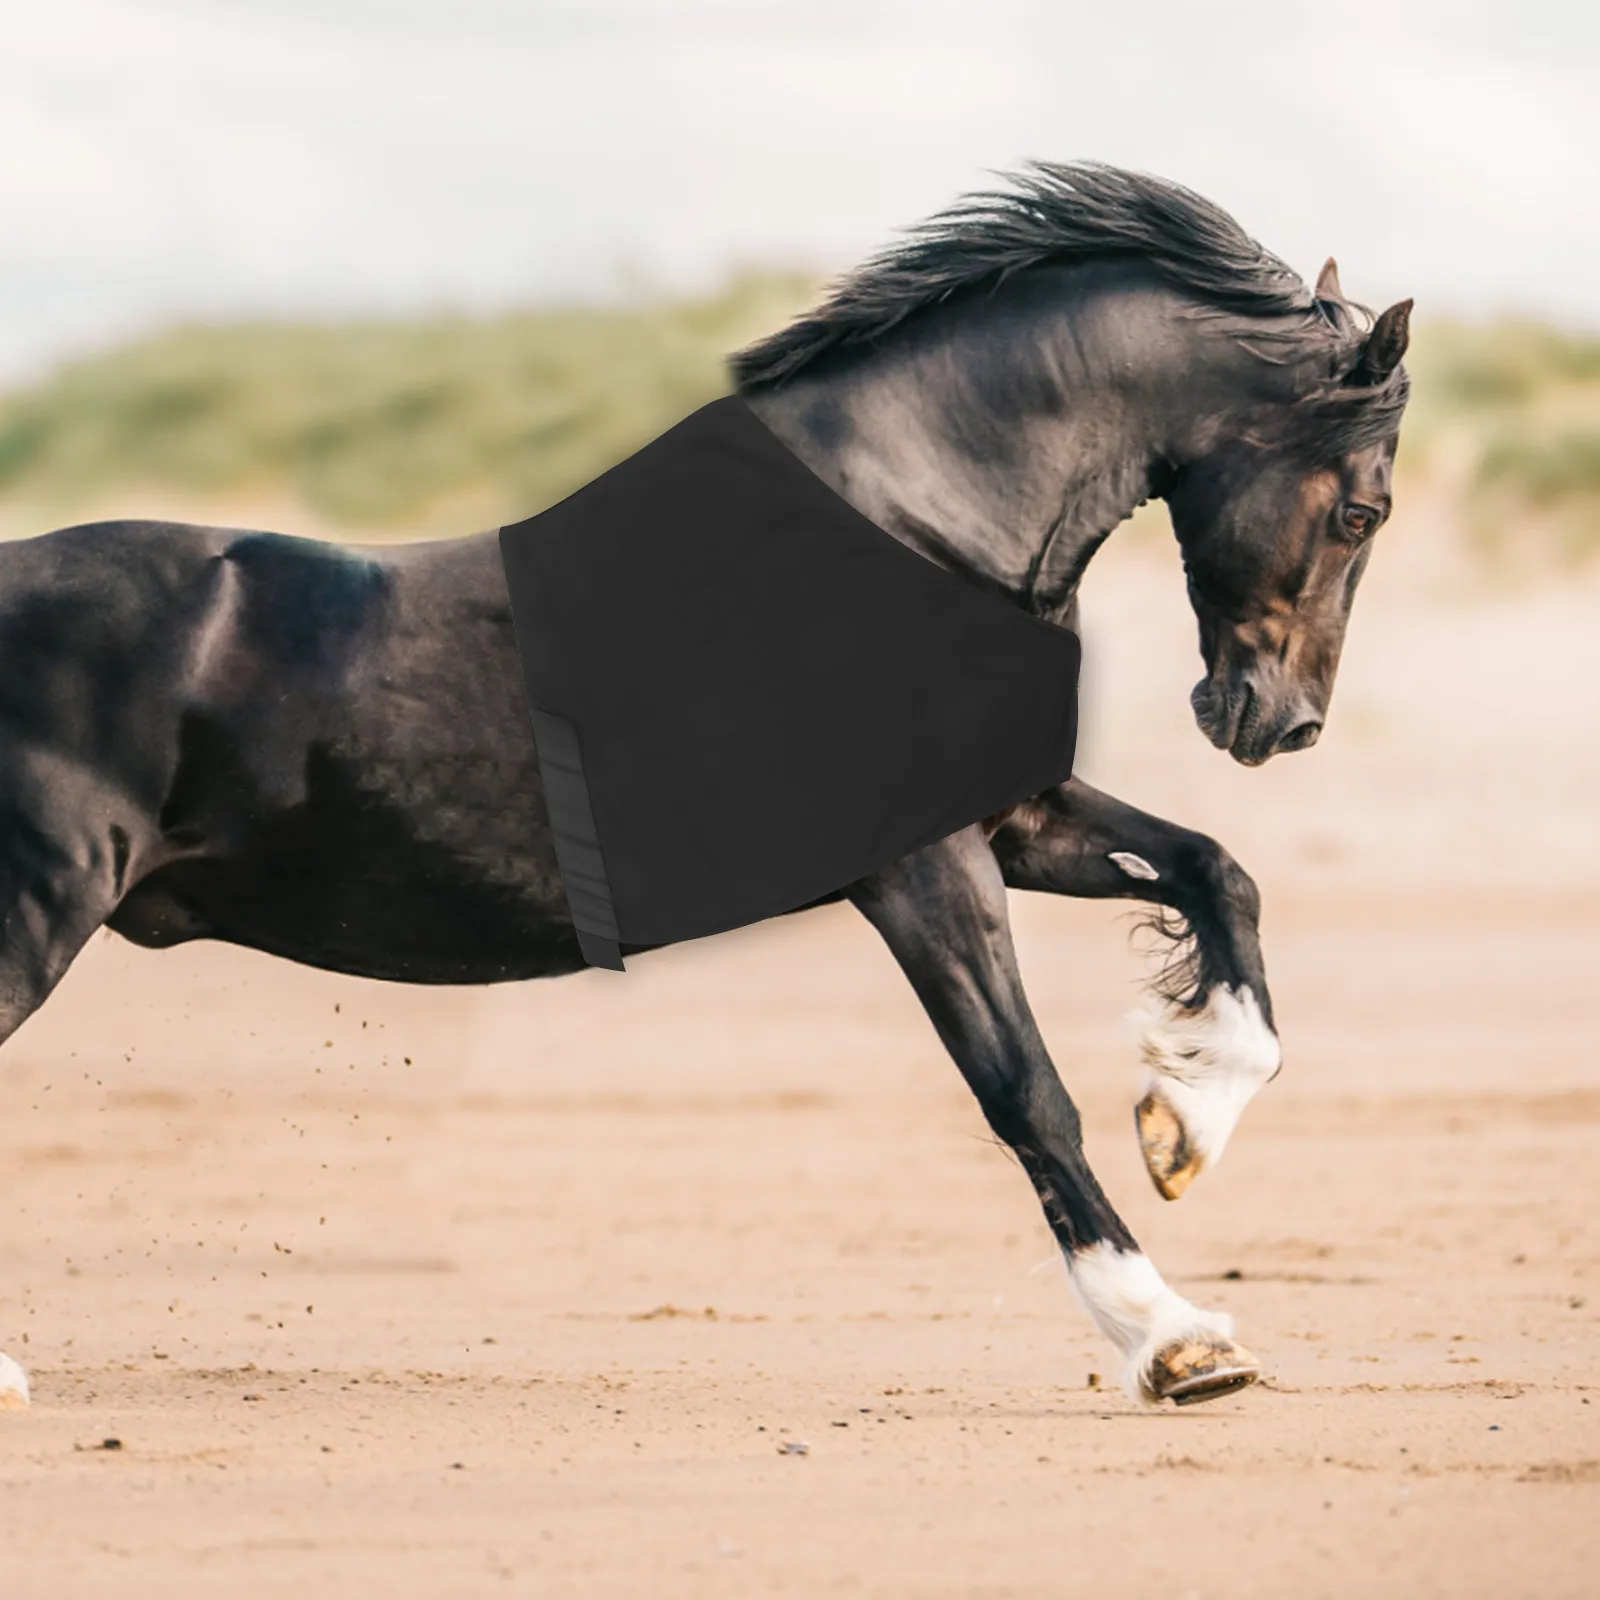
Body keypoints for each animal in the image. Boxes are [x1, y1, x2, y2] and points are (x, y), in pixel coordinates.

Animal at [0, 164, 1409, 1406]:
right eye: (1364, 511)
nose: (1278, 723)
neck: (909, 530)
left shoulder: (1010, 820)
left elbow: (1217, 876)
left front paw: (1184, 1116)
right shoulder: (922, 866)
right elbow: (1025, 1093)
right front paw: (1174, 1340)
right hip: (36, 915)